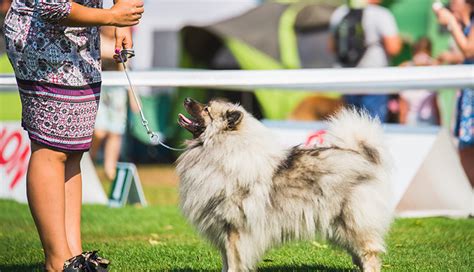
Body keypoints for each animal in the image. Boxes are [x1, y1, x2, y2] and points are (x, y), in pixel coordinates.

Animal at [177, 96, 392, 270]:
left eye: (206, 109)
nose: (186, 99)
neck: (222, 148)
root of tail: (361, 155)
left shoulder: (234, 229)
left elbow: (233, 261)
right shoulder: (223, 231)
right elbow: (226, 261)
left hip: (353, 223)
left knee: (369, 254)